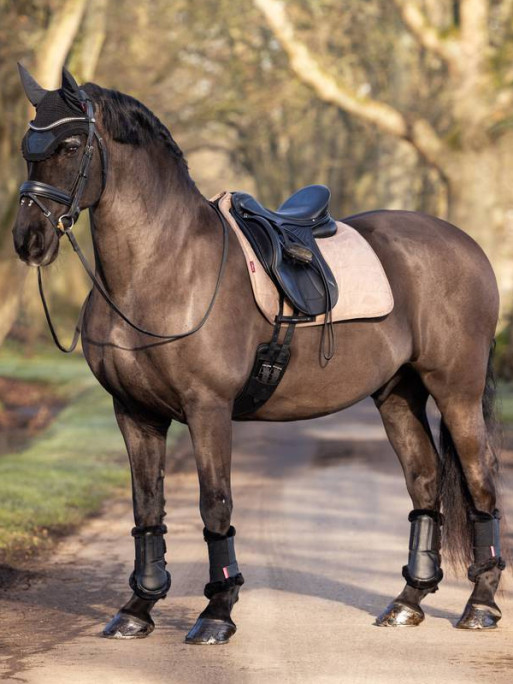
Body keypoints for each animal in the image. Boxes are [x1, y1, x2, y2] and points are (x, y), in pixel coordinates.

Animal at [13, 67, 504, 644]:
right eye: (26, 148)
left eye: (69, 146)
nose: (28, 239)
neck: (163, 268)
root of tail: (467, 246)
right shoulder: (134, 413)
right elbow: (147, 505)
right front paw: (137, 608)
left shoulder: (208, 409)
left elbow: (214, 504)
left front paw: (217, 611)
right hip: (398, 394)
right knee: (425, 481)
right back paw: (408, 601)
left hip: (456, 391)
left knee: (480, 481)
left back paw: (480, 605)